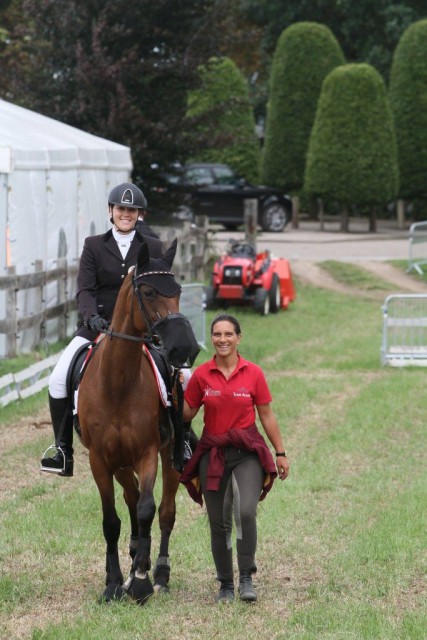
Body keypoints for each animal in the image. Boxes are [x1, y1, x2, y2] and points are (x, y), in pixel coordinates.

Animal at [77, 239, 201, 604]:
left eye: (178, 290)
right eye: (147, 291)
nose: (184, 349)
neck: (117, 382)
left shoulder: (148, 452)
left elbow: (148, 509)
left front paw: (142, 581)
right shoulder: (99, 459)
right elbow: (111, 521)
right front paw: (114, 583)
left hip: (169, 457)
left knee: (164, 512)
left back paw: (158, 573)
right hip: (118, 462)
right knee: (130, 498)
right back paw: (131, 560)